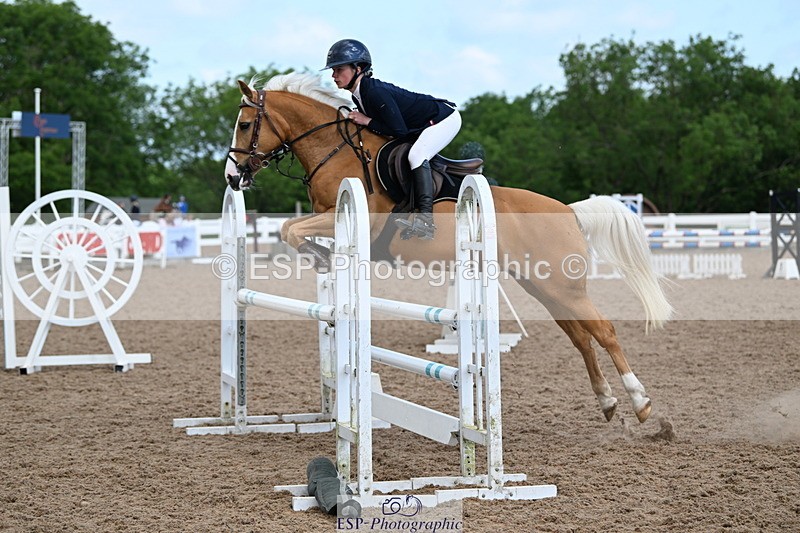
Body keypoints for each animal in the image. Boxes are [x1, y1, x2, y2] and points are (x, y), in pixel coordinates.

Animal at [224, 72, 673, 425]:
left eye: (245, 125)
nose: (232, 177)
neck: (334, 151)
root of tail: (568, 210)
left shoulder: (358, 216)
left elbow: (289, 228)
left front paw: (320, 256)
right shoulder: (329, 217)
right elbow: (291, 229)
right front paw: (321, 258)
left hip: (563, 286)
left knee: (604, 331)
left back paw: (642, 404)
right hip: (543, 285)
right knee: (581, 338)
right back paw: (608, 401)